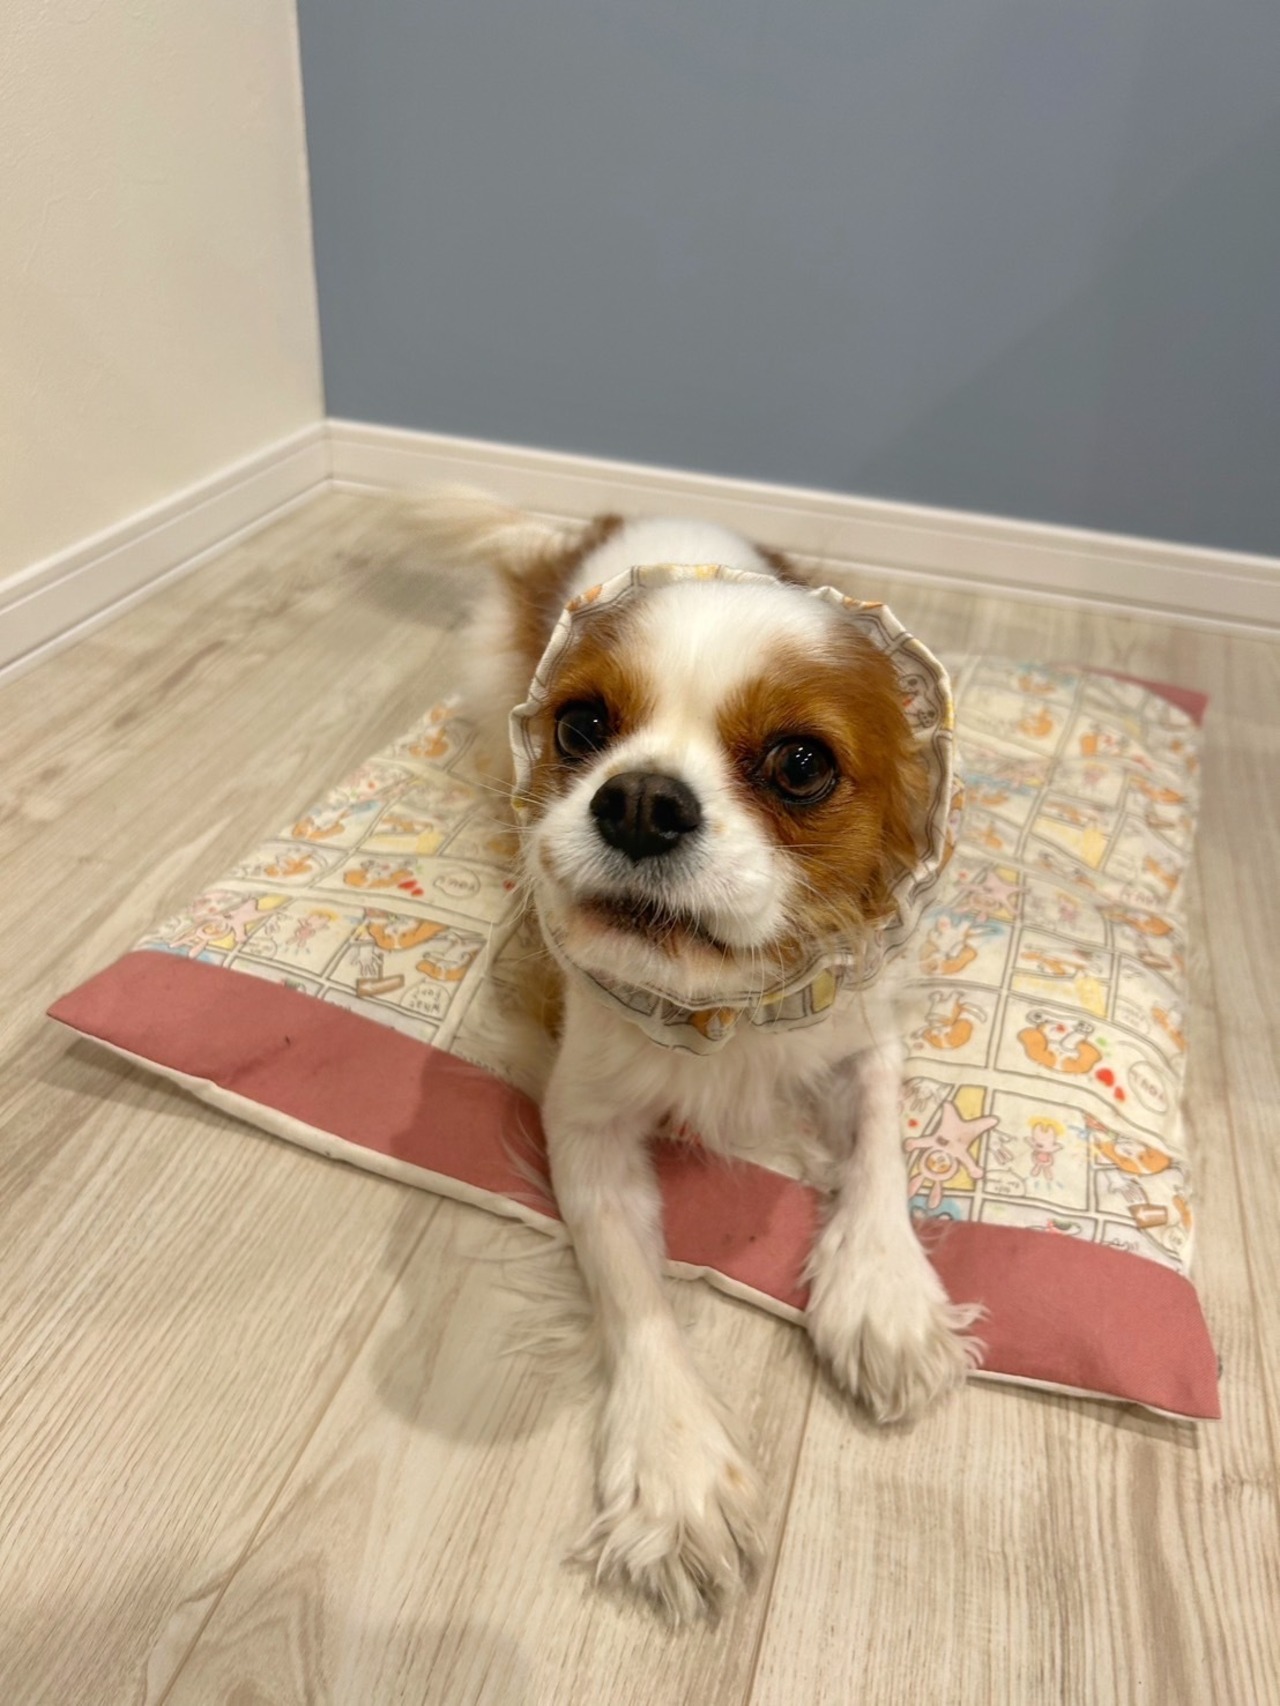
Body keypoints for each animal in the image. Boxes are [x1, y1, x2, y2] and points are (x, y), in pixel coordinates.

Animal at [411, 486, 980, 1619]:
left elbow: (880, 1148)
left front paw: (884, 1290)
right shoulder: (583, 1119)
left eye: (800, 764)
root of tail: (605, 519)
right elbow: (631, 1283)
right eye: (580, 726)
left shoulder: (860, 1028)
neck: (723, 1007)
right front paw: (673, 1467)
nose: (637, 799)